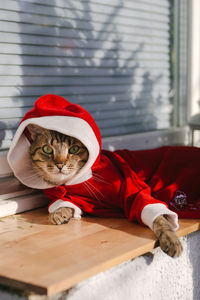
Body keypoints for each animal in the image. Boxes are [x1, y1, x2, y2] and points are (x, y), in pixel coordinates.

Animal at [27, 124, 183, 258]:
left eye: (74, 149)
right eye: (47, 149)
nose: (60, 165)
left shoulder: (135, 190)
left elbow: (159, 218)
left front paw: (171, 239)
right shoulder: (76, 199)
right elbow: (66, 204)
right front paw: (59, 213)